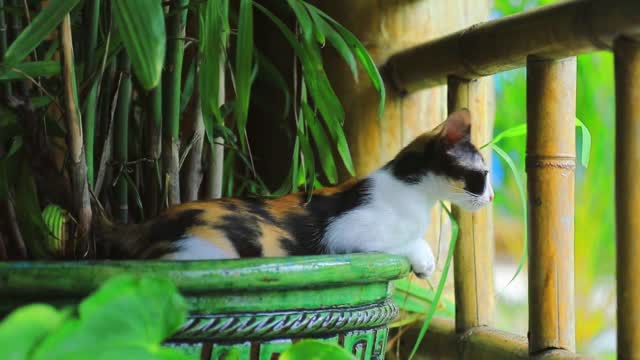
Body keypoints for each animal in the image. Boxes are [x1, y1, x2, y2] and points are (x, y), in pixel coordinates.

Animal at [97, 109, 492, 278]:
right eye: (484, 176)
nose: (490, 198)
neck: (413, 194)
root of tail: (147, 224)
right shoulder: (345, 233)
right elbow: (400, 243)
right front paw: (424, 260)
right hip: (205, 251)